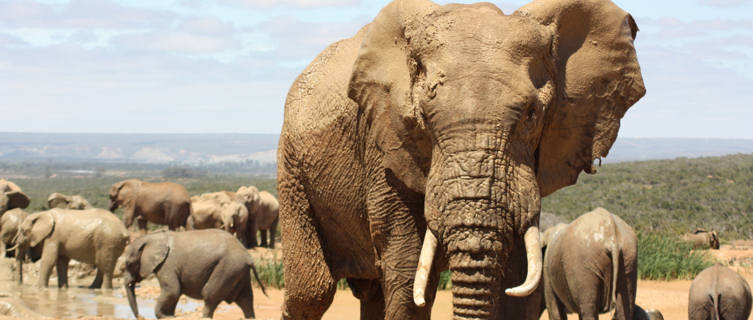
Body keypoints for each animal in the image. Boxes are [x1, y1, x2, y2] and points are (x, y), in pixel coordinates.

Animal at [122, 229, 264, 318]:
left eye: (128, 263)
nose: (141, 317)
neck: (153, 237)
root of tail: (248, 256)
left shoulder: (167, 265)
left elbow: (172, 290)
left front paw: (165, 316)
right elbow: (175, 293)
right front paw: (170, 316)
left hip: (227, 268)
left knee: (209, 295)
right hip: (239, 272)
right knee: (246, 300)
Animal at [278, 0, 648, 318]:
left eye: (531, 115)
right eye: (424, 119)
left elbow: (516, 282)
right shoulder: (381, 139)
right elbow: (408, 271)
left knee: (370, 292)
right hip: (292, 169)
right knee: (312, 292)